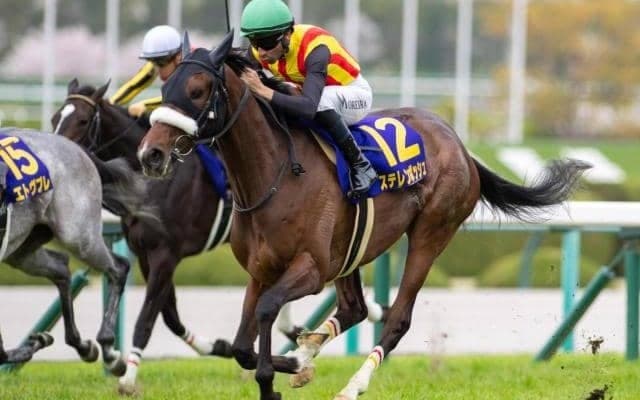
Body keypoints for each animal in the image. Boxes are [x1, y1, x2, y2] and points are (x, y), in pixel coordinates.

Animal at [0, 127, 147, 375]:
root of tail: (77, 148)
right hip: (21, 249)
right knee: (61, 267)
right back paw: (80, 345)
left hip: (79, 236)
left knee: (118, 267)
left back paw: (109, 350)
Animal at [136, 31, 590, 400]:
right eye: (165, 86)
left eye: (197, 89)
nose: (151, 154)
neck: (273, 174)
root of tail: (459, 144)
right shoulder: (262, 268)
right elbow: (242, 348)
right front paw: (296, 363)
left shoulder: (311, 268)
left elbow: (266, 311)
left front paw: (276, 380)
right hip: (351, 250)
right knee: (354, 308)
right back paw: (308, 352)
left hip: (430, 233)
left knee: (397, 319)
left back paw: (352, 385)